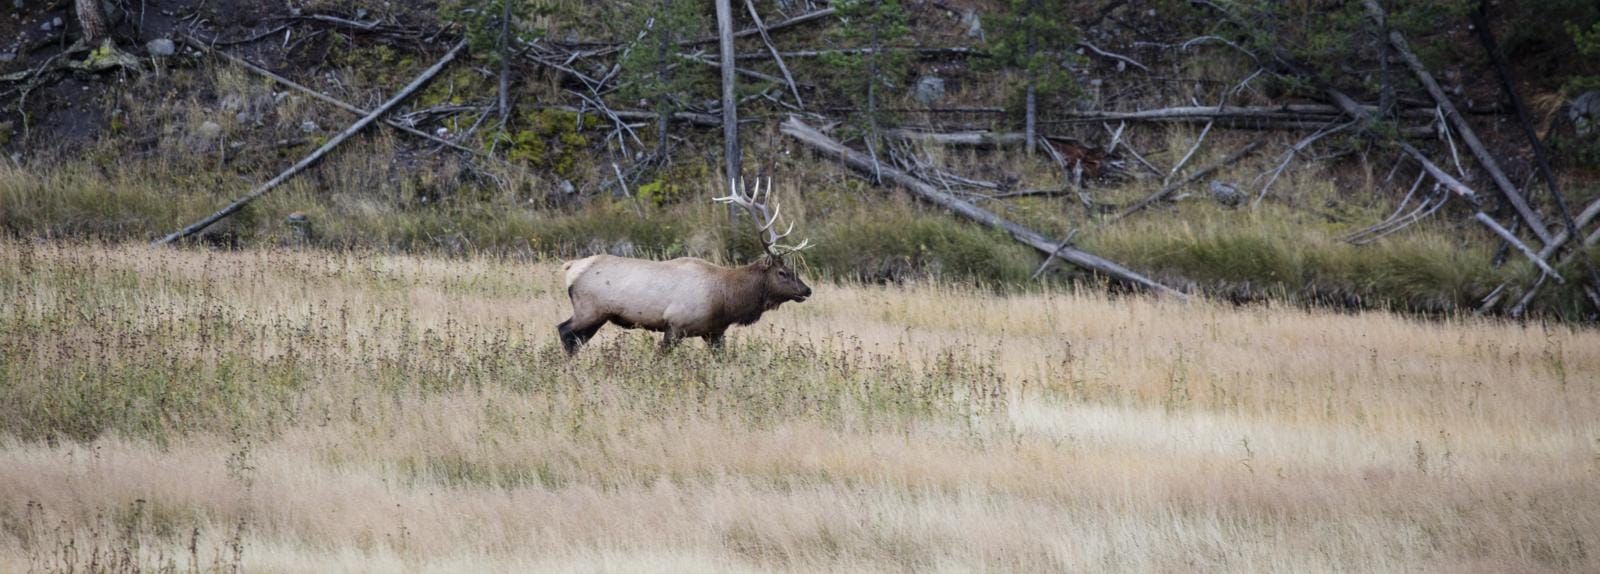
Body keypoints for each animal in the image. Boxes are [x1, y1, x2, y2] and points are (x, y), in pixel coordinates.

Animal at [557, 177, 813, 355]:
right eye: (783, 272)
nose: (807, 290)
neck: (726, 299)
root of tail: (571, 268)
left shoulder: (714, 332)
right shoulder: (675, 325)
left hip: (595, 316)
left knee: (574, 340)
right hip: (590, 310)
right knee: (564, 331)